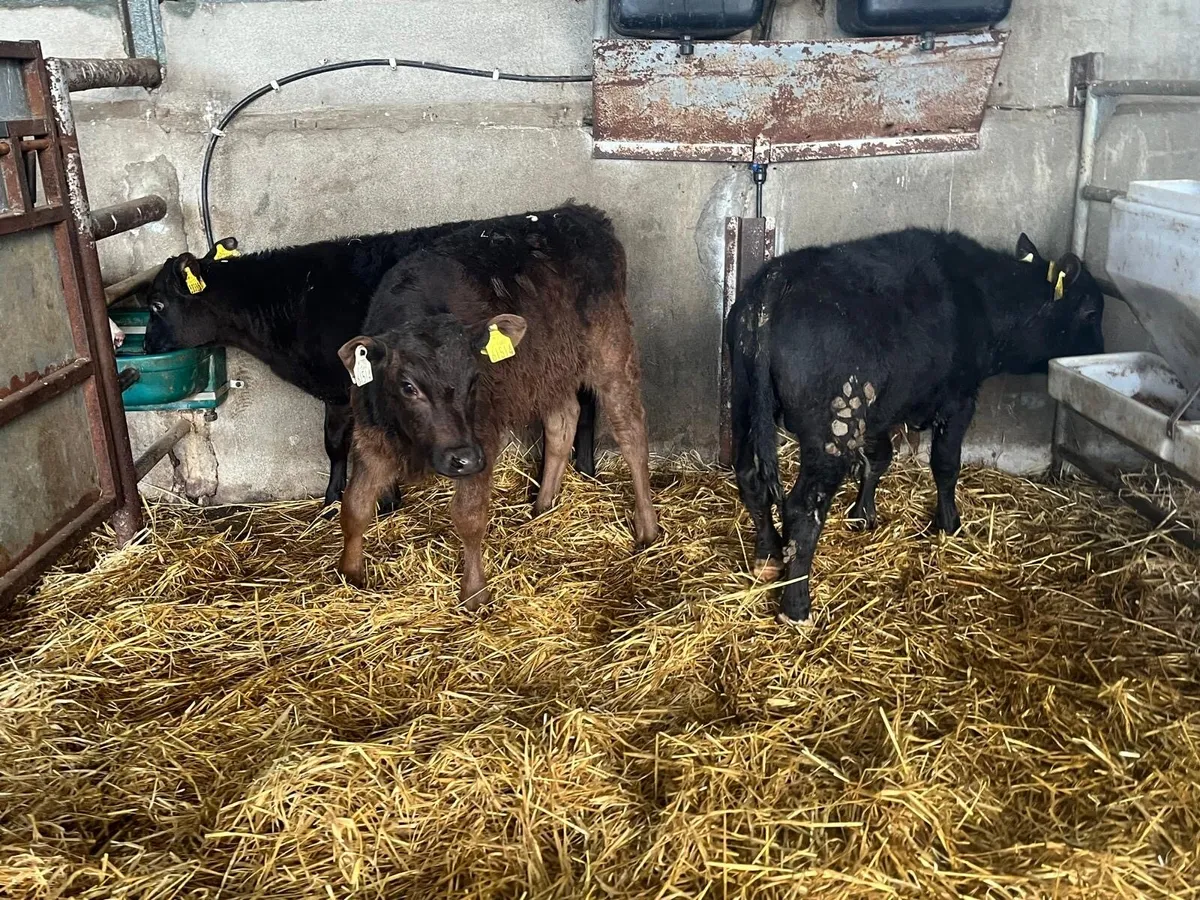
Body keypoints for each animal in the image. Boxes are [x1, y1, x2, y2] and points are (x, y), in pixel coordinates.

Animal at [142, 222, 598, 511]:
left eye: (157, 304)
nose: (146, 344)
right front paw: (362, 498)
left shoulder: (346, 390)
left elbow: (338, 443)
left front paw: (355, 500)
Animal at [335, 203, 658, 609]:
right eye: (408, 387)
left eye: (475, 379)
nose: (463, 459)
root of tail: (579, 213)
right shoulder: (371, 434)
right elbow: (355, 506)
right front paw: (350, 575)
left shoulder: (482, 437)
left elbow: (469, 516)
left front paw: (474, 592)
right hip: (549, 367)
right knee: (563, 419)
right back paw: (542, 507)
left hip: (612, 351)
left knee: (631, 433)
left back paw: (647, 528)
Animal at [726, 228, 1105, 626]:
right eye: (1091, 312)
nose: (1100, 350)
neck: (985, 298)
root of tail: (776, 278)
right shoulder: (958, 400)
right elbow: (945, 465)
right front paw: (949, 524)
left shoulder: (883, 410)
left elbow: (879, 458)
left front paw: (863, 514)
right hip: (835, 424)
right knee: (803, 507)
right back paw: (796, 604)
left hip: (745, 402)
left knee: (750, 477)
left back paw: (768, 557)